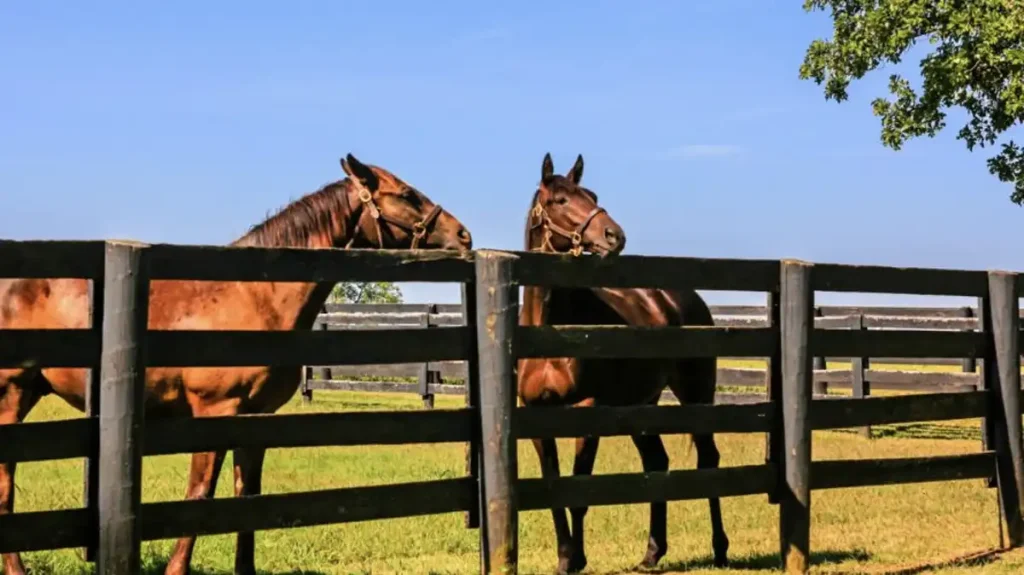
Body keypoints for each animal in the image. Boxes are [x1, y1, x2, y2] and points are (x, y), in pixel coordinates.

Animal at [0, 153, 473, 575]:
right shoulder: (214, 412)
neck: (254, 296)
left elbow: (248, 499)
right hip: (12, 394)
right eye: (407, 194)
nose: (464, 236)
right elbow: (200, 495)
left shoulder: (255, 419)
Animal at [517, 153, 729, 574]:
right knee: (657, 463)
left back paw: (720, 547)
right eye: (560, 201)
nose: (615, 236)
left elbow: (580, 491)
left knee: (708, 460)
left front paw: (578, 558)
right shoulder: (536, 415)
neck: (549, 330)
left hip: (696, 395)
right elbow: (554, 490)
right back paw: (652, 553)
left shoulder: (587, 411)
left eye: (592, 195)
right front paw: (565, 559)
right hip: (640, 404)